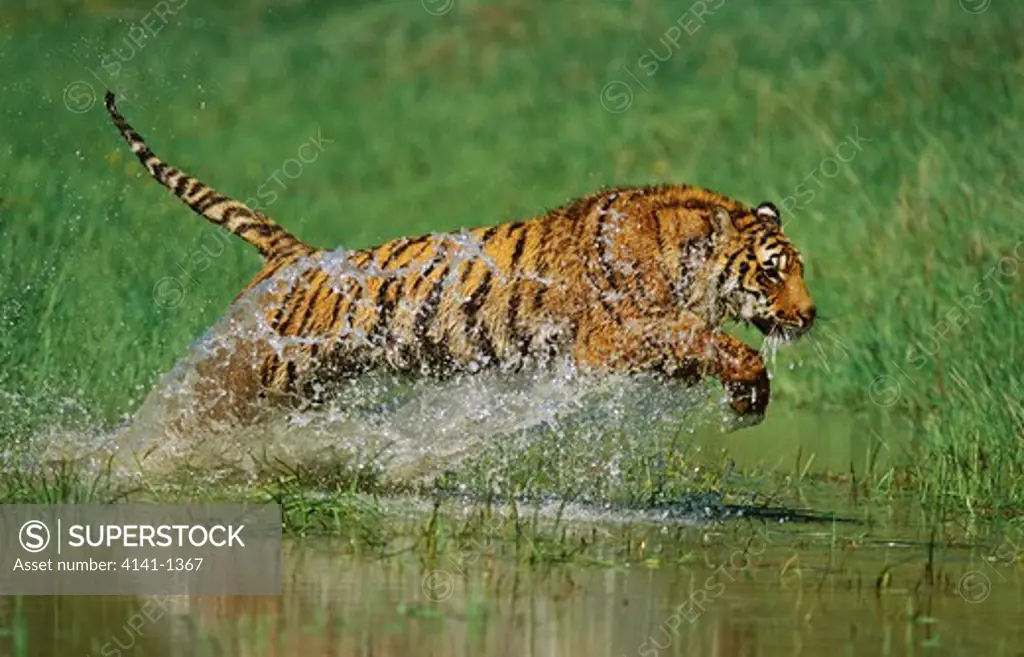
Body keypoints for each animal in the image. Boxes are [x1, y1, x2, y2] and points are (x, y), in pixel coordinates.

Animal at [103, 91, 815, 440]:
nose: (810, 316)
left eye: (800, 271)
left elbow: (700, 346)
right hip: (256, 371)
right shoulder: (607, 338)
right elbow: (704, 337)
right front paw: (750, 384)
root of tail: (293, 254)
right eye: (772, 272)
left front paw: (748, 396)